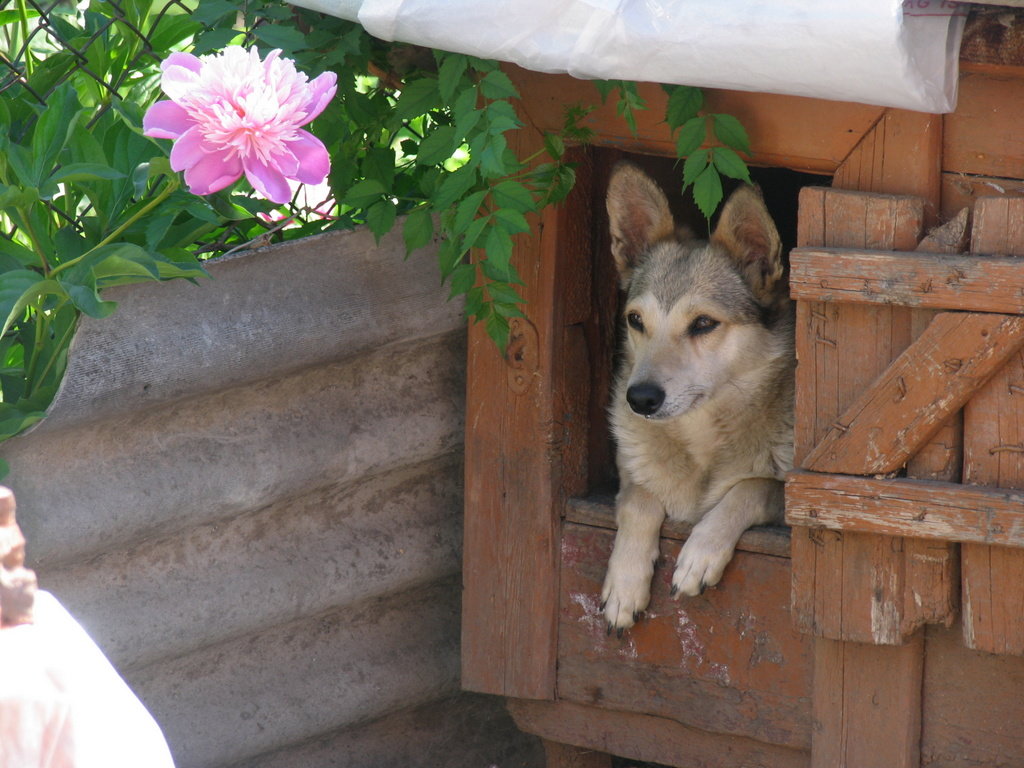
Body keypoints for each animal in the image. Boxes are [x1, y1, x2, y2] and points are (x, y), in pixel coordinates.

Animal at [602, 162, 794, 630]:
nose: (640, 399)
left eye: (704, 324)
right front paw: (625, 582)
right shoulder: (628, 473)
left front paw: (700, 553)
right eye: (635, 321)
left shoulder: (793, 500)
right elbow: (639, 499)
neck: (701, 439)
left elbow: (754, 487)